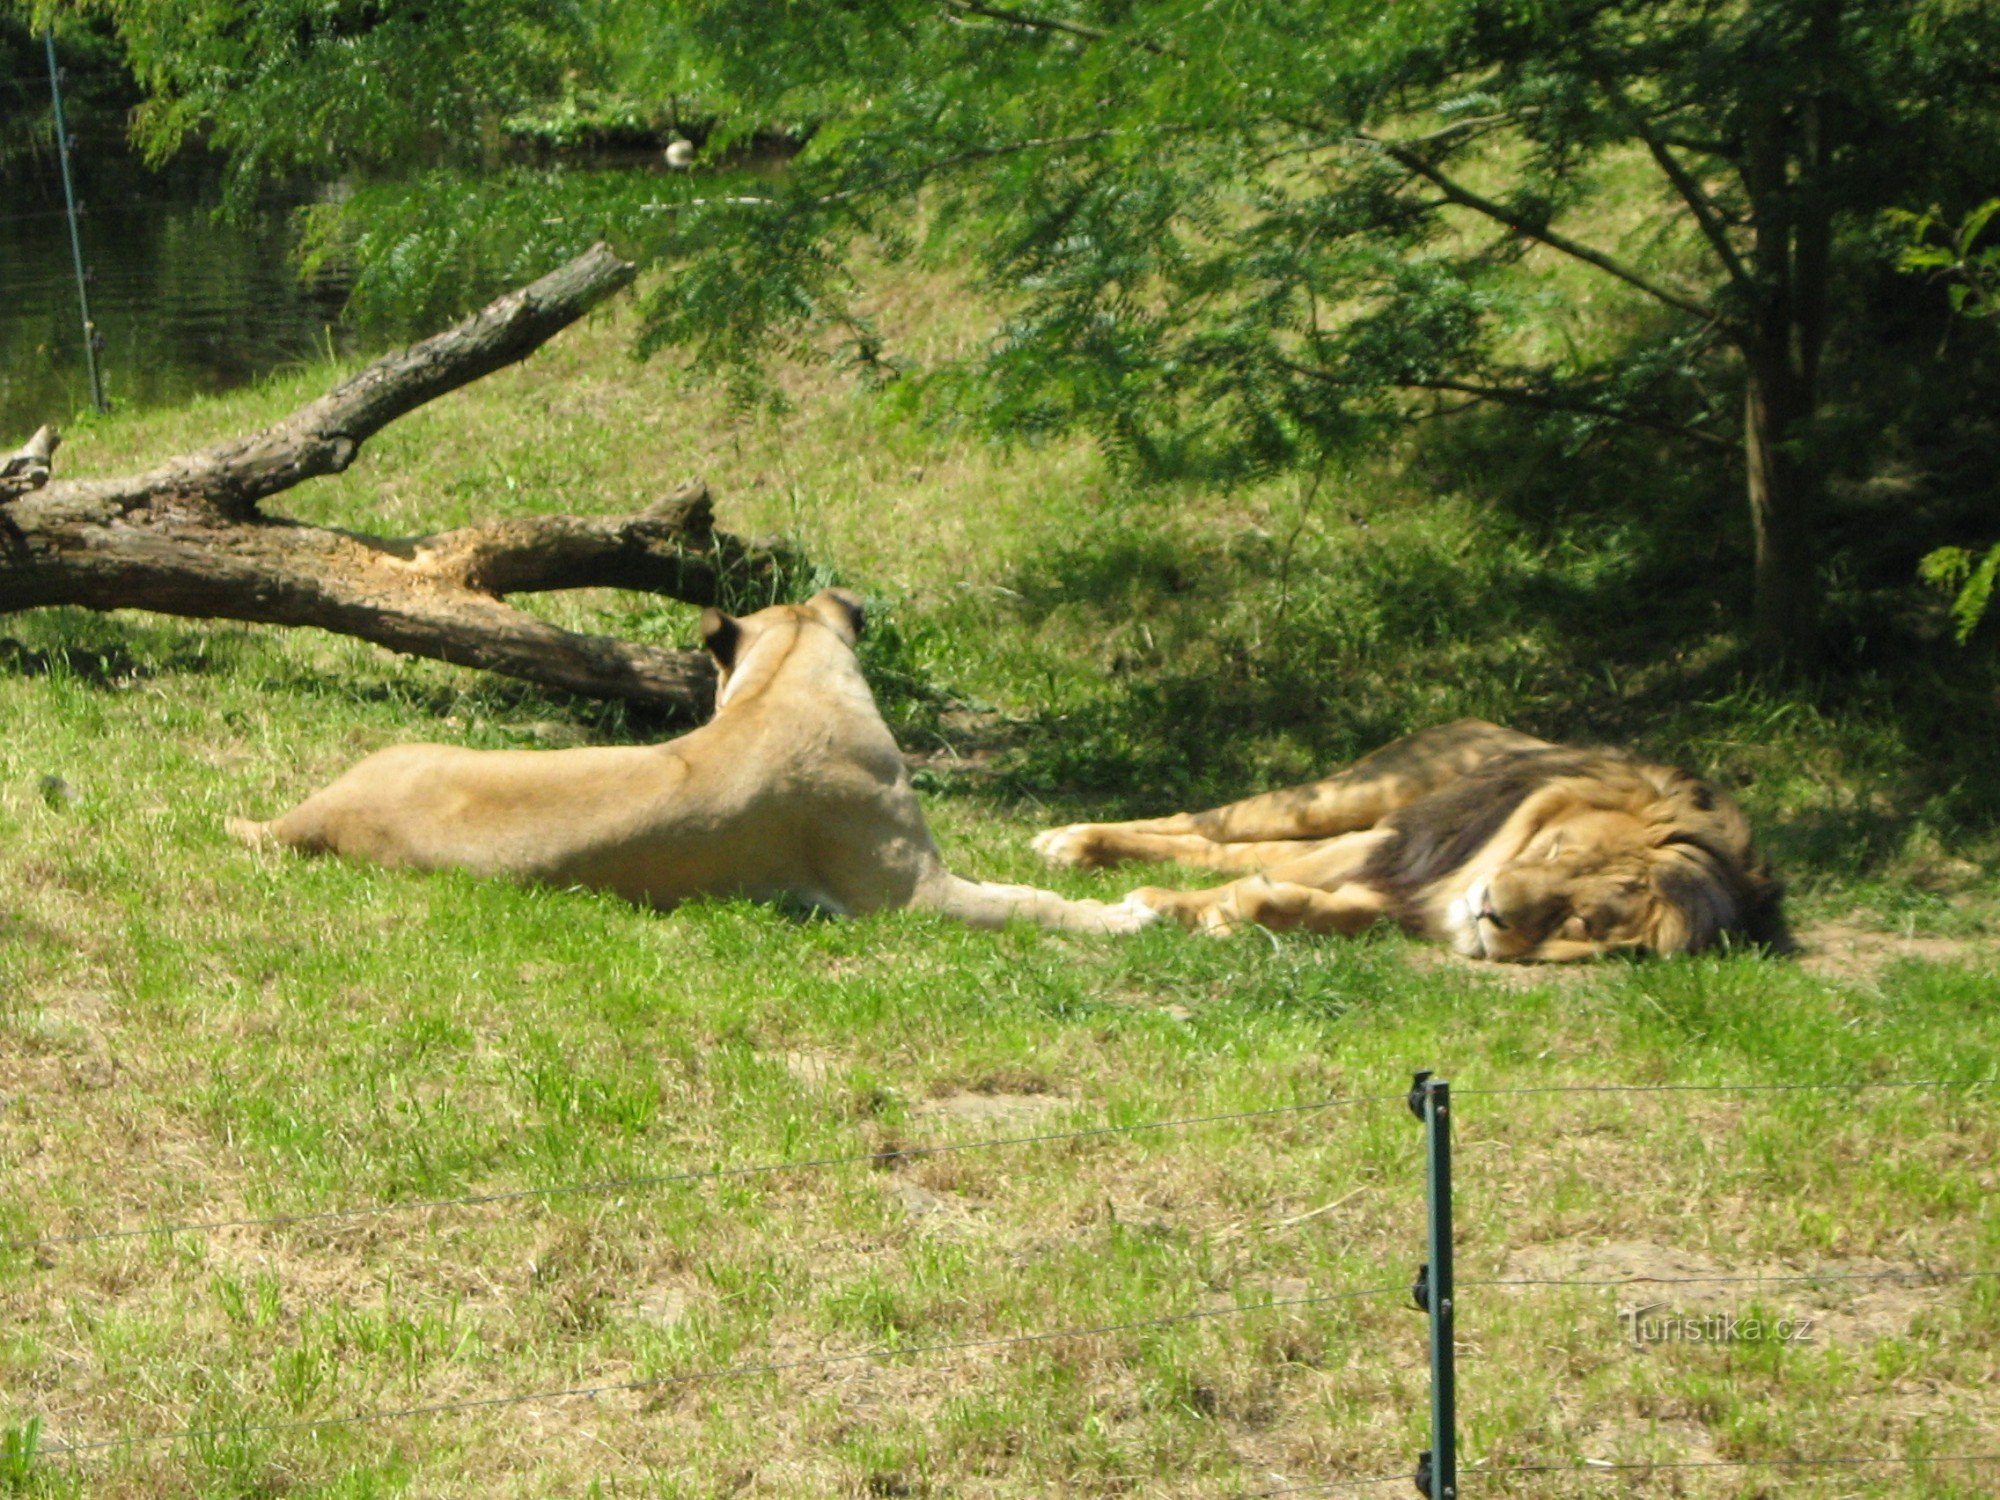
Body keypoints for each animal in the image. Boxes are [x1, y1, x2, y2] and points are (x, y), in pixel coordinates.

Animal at [1032, 720, 1784, 964]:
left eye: (1582, 919)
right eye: (1559, 852)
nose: (1493, 909)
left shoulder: (1401, 891)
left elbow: (1312, 904)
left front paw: (1238, 914)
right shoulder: (1400, 845)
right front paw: (1166, 904)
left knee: (1226, 847)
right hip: (1357, 797)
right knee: (1209, 823)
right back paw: (1070, 841)